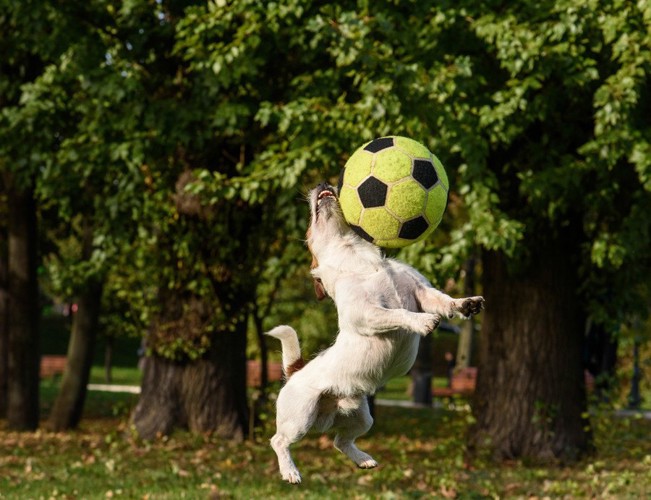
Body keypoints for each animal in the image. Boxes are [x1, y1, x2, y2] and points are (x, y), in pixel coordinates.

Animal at [264, 182, 484, 482]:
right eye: (309, 226)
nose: (323, 184)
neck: (357, 259)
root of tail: (296, 371)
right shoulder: (366, 314)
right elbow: (399, 314)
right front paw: (422, 322)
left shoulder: (422, 292)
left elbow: (444, 301)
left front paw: (465, 304)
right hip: (300, 416)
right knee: (279, 441)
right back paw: (290, 471)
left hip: (362, 418)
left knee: (340, 441)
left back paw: (363, 459)